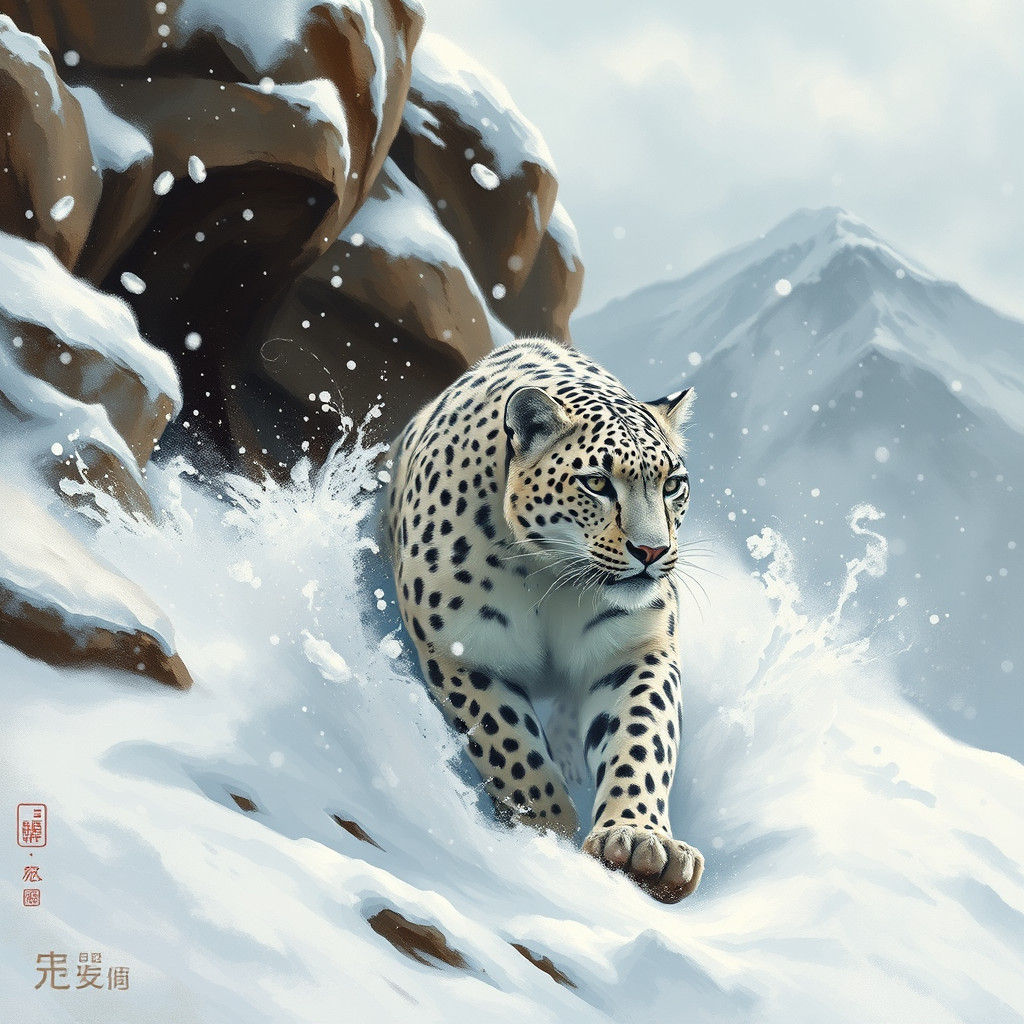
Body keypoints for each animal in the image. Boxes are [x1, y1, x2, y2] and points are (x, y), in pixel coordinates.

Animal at [384, 338, 704, 903]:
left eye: (673, 486)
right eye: (597, 482)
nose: (652, 551)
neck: (551, 576)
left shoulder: (635, 652)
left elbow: (643, 738)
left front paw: (641, 843)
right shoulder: (463, 652)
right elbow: (509, 748)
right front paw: (545, 837)